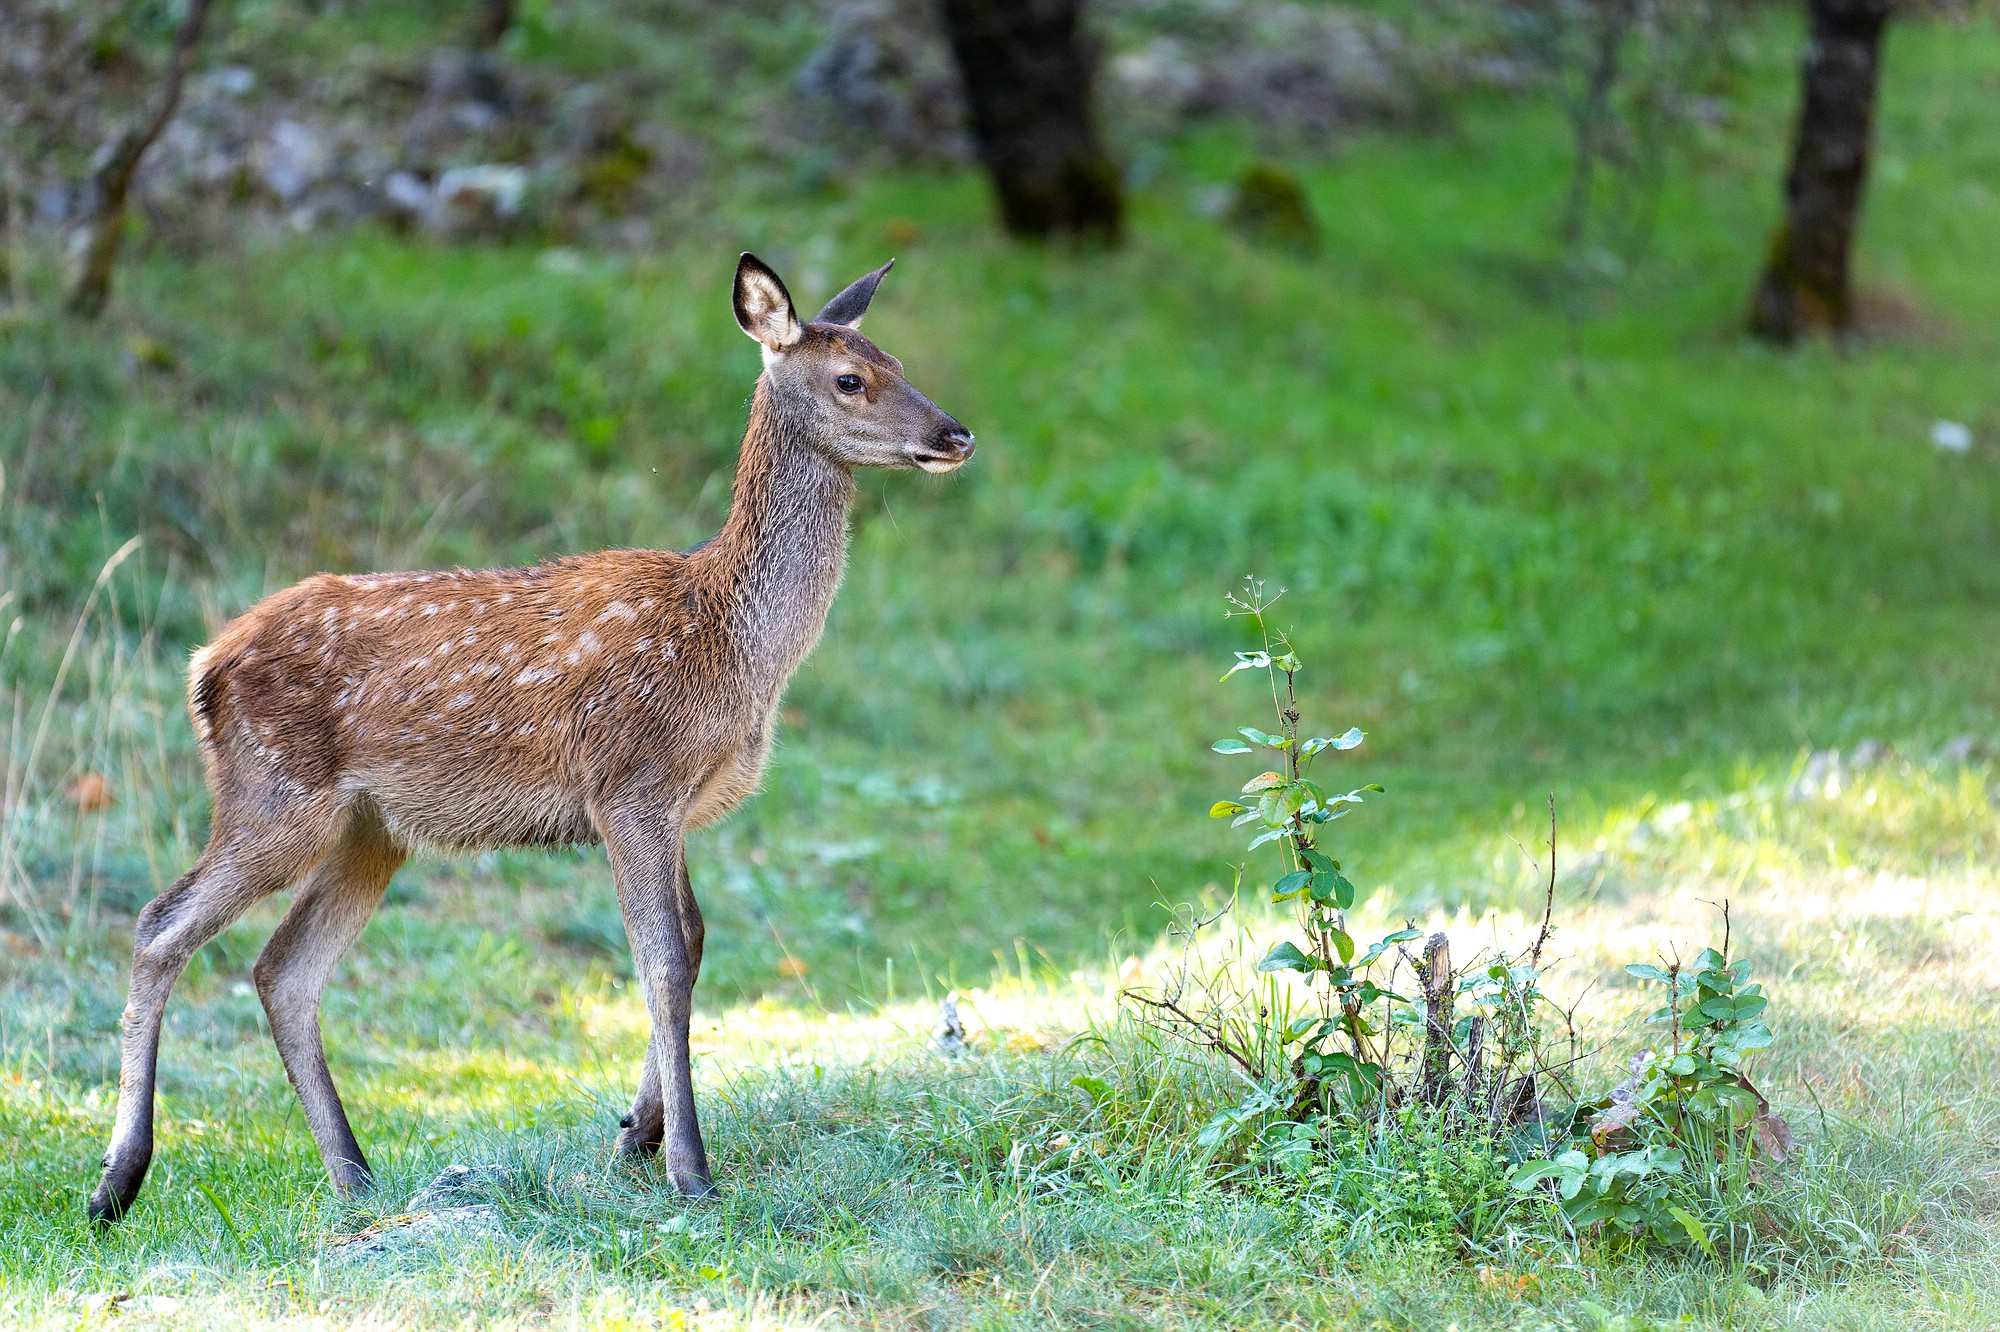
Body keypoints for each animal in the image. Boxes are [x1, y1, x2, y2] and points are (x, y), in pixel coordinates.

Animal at [87, 253, 974, 1224]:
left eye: (894, 358)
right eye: (851, 378)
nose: (957, 433)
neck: (736, 648)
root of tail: (204, 667)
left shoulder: (674, 804)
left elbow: (693, 943)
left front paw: (636, 1133)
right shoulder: (633, 782)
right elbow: (663, 960)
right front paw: (690, 1170)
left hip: (370, 830)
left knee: (283, 968)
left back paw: (354, 1176)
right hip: (274, 793)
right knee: (160, 925)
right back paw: (117, 1180)